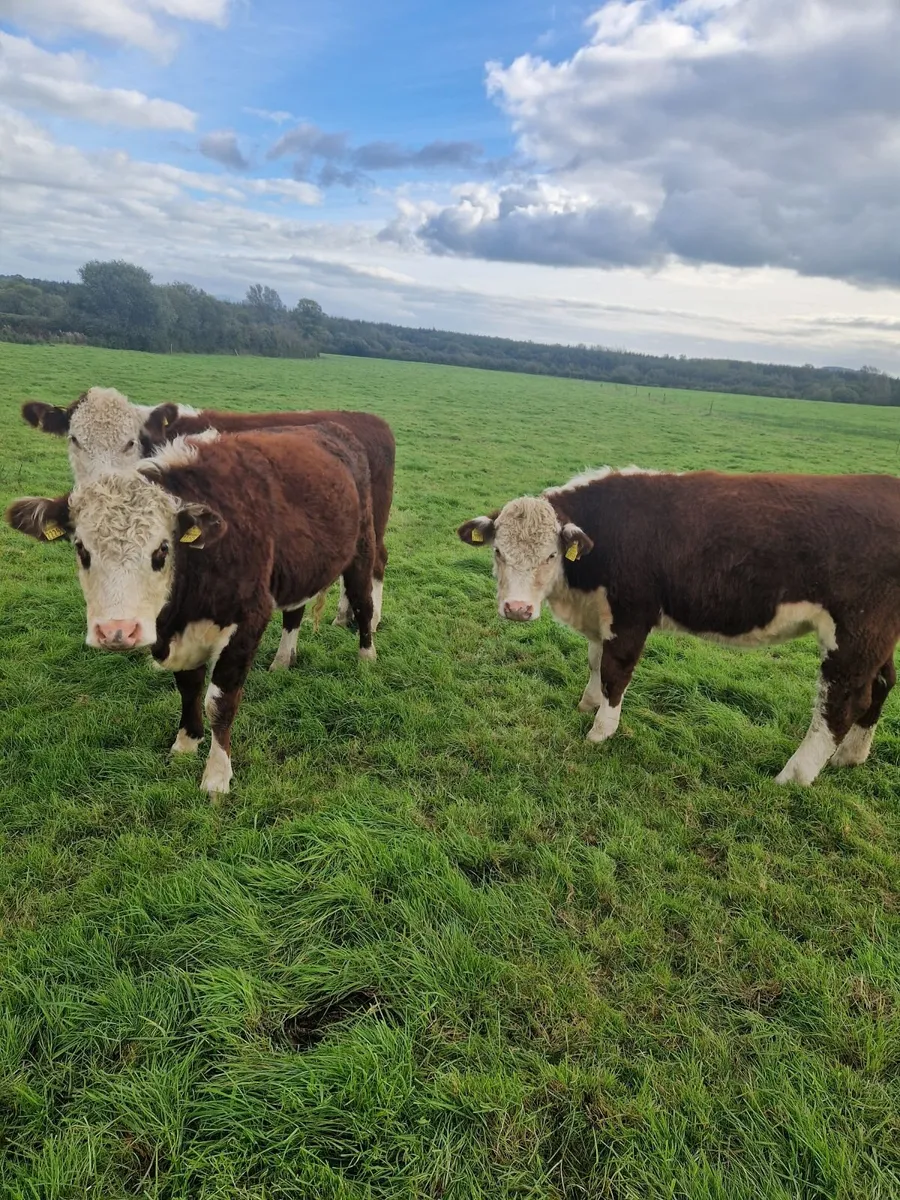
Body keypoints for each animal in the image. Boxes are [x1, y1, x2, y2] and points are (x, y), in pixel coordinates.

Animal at [6, 424, 378, 794]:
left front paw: (216, 776)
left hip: (362, 549)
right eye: (81, 548)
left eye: (162, 549)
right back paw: (283, 661)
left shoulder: (247, 621)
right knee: (294, 612)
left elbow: (220, 702)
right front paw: (185, 743)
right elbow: (188, 687)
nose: (117, 631)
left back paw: (366, 658)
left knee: (364, 602)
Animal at [21, 387, 395, 637]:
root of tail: (371, 420)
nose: (103, 483)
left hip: (372, 520)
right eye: (74, 439)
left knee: (377, 561)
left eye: (129, 441)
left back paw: (372, 619)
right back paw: (343, 616)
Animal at [458, 466, 900, 786]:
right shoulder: (603, 615)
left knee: (841, 702)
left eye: (551, 555)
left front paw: (601, 730)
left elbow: (615, 672)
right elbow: (595, 662)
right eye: (498, 551)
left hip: (855, 633)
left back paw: (793, 776)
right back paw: (851, 756)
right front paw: (588, 704)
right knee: (881, 684)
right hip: (878, 636)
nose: (517, 609)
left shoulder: (632, 615)